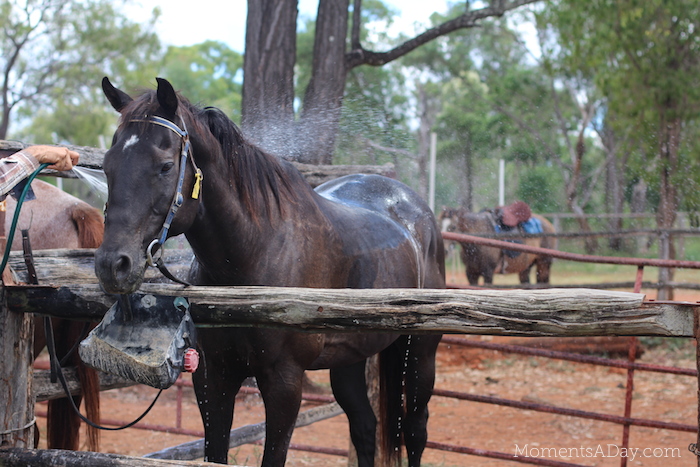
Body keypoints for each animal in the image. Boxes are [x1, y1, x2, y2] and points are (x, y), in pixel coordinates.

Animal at [94, 78, 442, 466]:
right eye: (107, 165)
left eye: (166, 166)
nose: (113, 264)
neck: (254, 257)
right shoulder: (213, 377)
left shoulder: (284, 382)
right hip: (350, 360)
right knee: (365, 427)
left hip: (419, 355)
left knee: (415, 430)